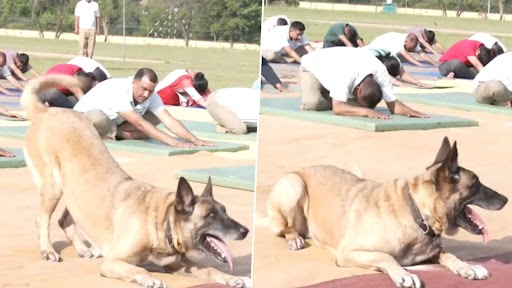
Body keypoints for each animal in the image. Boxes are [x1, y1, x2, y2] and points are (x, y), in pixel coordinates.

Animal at [20, 75, 252, 288]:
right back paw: (48, 250)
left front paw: (232, 278)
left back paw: (83, 249)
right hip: (53, 187)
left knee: (65, 221)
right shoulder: (113, 262)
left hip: (75, 194)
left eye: (224, 211)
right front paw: (150, 279)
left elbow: (211, 269)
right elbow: (140, 269)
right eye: (210, 215)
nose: (245, 231)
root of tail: (46, 111)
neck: (162, 222)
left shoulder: (180, 265)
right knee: (42, 220)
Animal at [260, 137, 508, 288]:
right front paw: (404, 274)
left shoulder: (434, 251)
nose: (506, 199)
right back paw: (294, 237)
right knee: (287, 227)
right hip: (294, 185)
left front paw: (468, 267)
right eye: (476, 184)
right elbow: (386, 256)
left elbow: (450, 255)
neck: (417, 214)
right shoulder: (349, 252)